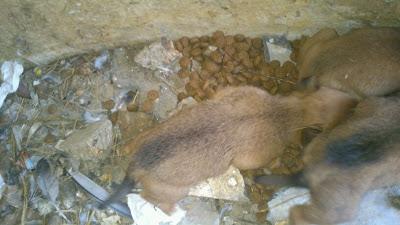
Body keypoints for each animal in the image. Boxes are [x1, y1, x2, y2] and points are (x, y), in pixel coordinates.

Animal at [106, 85, 356, 214]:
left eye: (342, 94)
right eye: (346, 115)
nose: (358, 101)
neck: (286, 112)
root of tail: (136, 165)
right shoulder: (259, 153)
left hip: (143, 137)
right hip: (172, 190)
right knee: (149, 196)